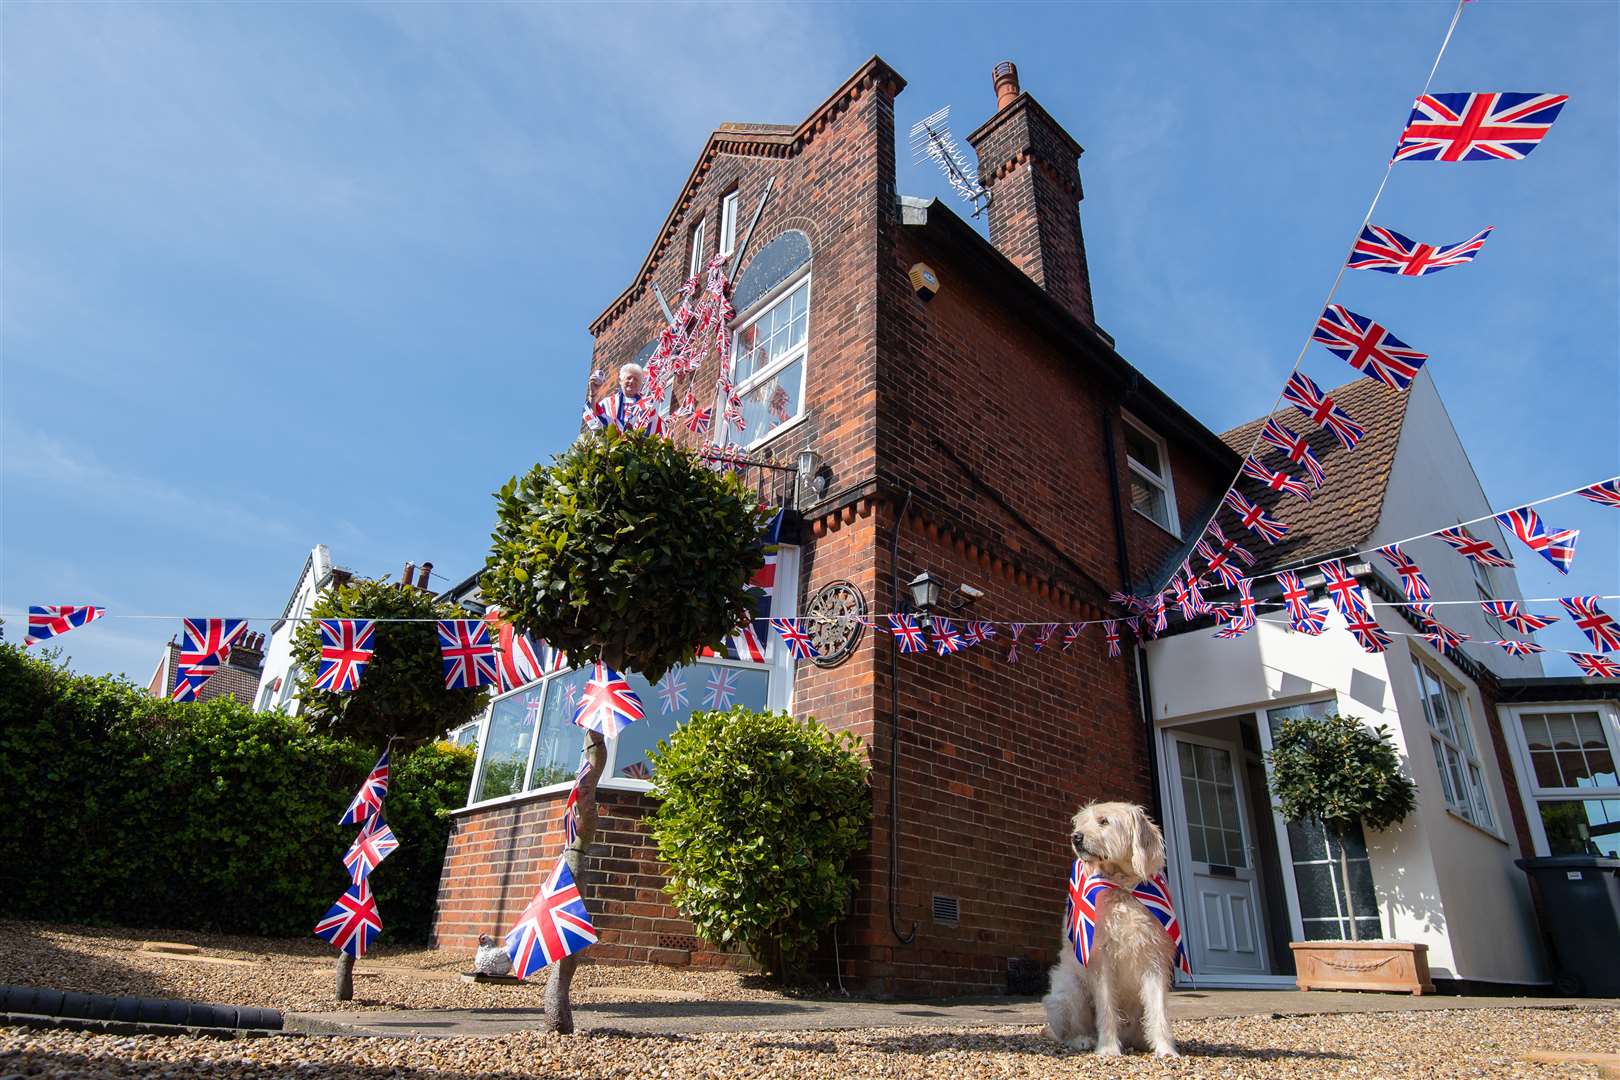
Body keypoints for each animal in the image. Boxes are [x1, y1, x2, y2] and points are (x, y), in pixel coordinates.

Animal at [1043, 799, 1185, 1062]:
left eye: (1103, 821)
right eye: (1081, 822)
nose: (1075, 837)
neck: (1122, 887)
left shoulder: (1154, 959)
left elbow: (1158, 1010)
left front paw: (1166, 1049)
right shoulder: (1102, 960)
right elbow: (1107, 1008)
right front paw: (1108, 1048)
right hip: (1068, 992)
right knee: (1067, 1031)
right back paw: (1082, 1039)